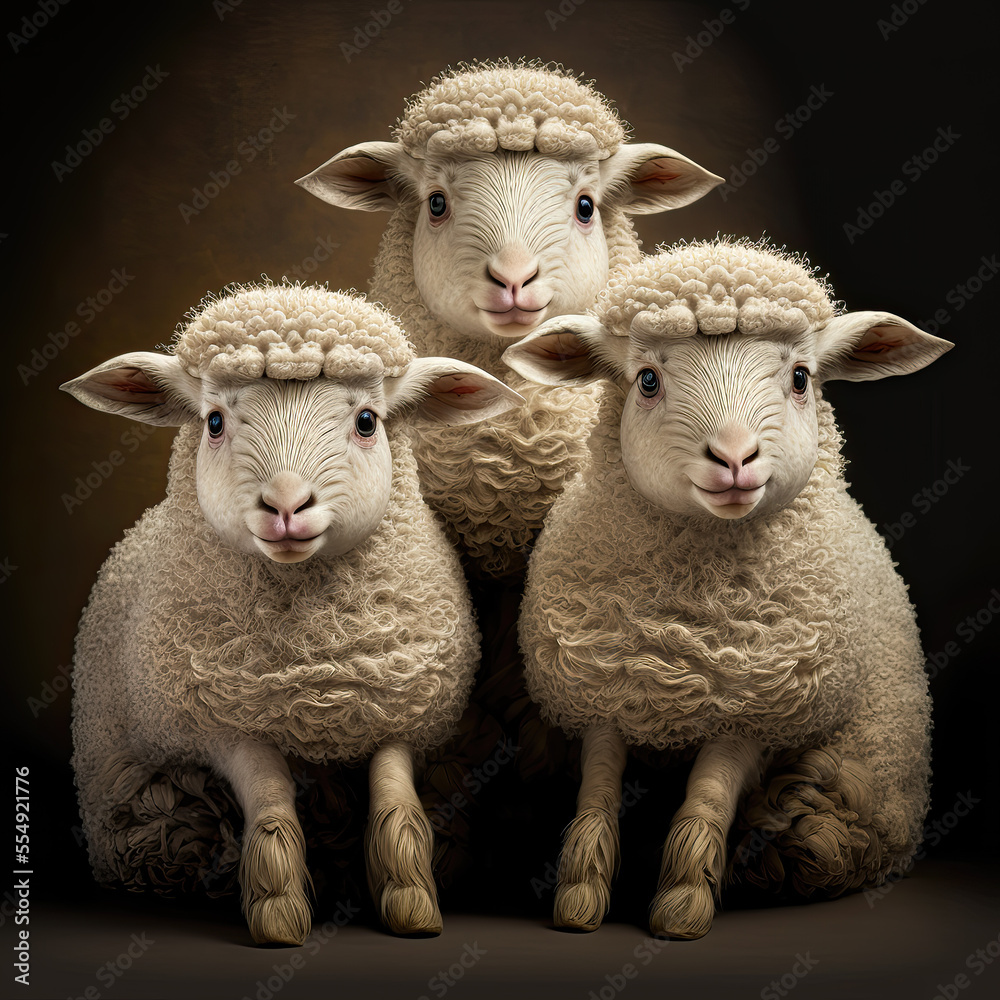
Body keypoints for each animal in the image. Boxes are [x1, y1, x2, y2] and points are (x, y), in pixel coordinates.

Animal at [62, 281, 522, 945]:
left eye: (366, 421)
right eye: (215, 422)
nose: (285, 505)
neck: (313, 668)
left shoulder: (400, 709)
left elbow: (395, 809)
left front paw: (411, 903)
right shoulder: (220, 724)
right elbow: (273, 808)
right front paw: (278, 910)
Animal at [502, 239, 952, 939]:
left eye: (801, 377)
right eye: (647, 380)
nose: (735, 458)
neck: (693, 627)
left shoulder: (753, 706)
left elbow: (706, 800)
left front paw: (684, 900)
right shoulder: (607, 691)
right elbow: (596, 796)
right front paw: (580, 894)